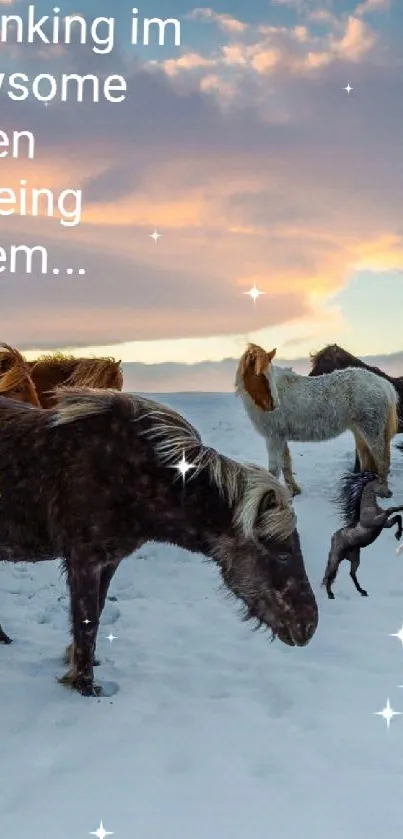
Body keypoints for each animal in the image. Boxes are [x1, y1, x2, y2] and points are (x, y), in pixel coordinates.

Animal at [0, 388, 318, 696]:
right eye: (282, 553)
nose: (309, 626)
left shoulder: (109, 561)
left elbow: (96, 613)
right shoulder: (84, 559)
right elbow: (87, 620)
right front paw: (84, 684)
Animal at [235, 342, 400, 498]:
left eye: (270, 374)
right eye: (258, 374)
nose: (274, 404)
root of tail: (384, 384)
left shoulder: (273, 438)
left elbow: (274, 470)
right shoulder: (280, 437)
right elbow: (286, 464)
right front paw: (294, 491)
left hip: (371, 430)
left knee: (382, 459)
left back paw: (383, 491)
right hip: (359, 431)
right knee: (366, 458)